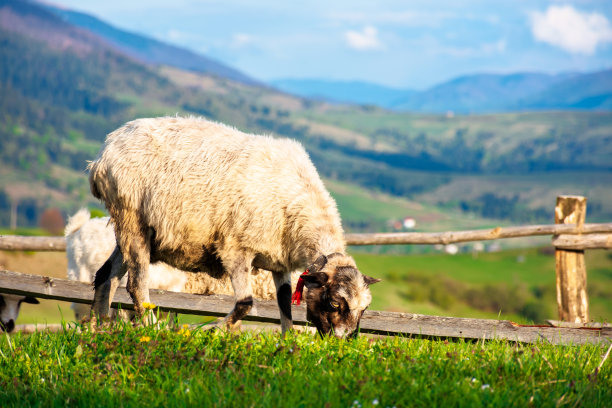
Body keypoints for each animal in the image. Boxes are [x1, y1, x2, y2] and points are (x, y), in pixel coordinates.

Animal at [89, 115, 378, 338]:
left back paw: (96, 330)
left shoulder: (278, 262)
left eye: (363, 309)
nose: (340, 341)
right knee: (136, 286)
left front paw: (289, 345)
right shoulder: (237, 249)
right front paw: (210, 330)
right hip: (132, 218)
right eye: (333, 303)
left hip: (132, 230)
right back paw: (152, 330)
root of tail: (104, 152)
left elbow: (285, 306)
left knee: (105, 277)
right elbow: (245, 304)